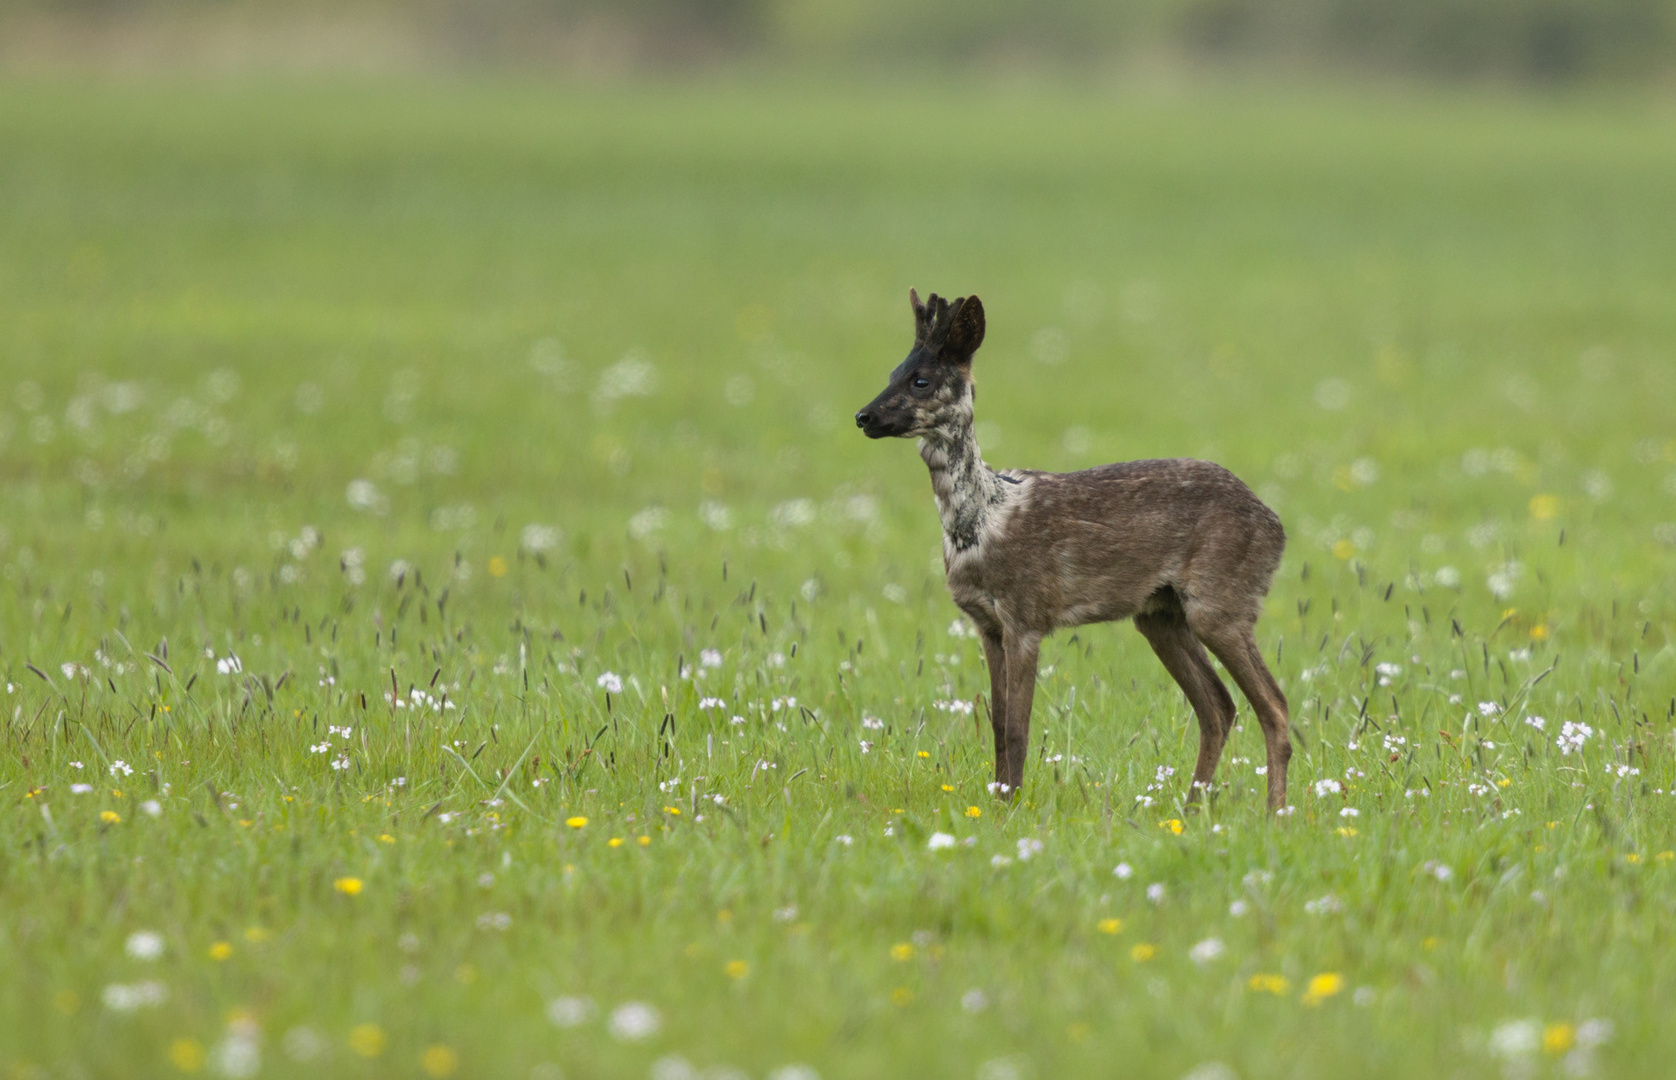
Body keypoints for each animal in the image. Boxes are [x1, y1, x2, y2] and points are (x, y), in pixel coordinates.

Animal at [858, 291, 1287, 804]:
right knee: (1219, 706)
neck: (983, 520)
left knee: (1273, 705)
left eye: (921, 379)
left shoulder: (1026, 615)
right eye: (891, 372)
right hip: (1160, 614)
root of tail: (1277, 527)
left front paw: (1011, 805)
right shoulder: (987, 623)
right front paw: (998, 799)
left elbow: (1018, 729)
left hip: (1222, 600)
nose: (863, 416)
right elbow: (998, 725)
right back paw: (1194, 807)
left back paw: (1274, 813)